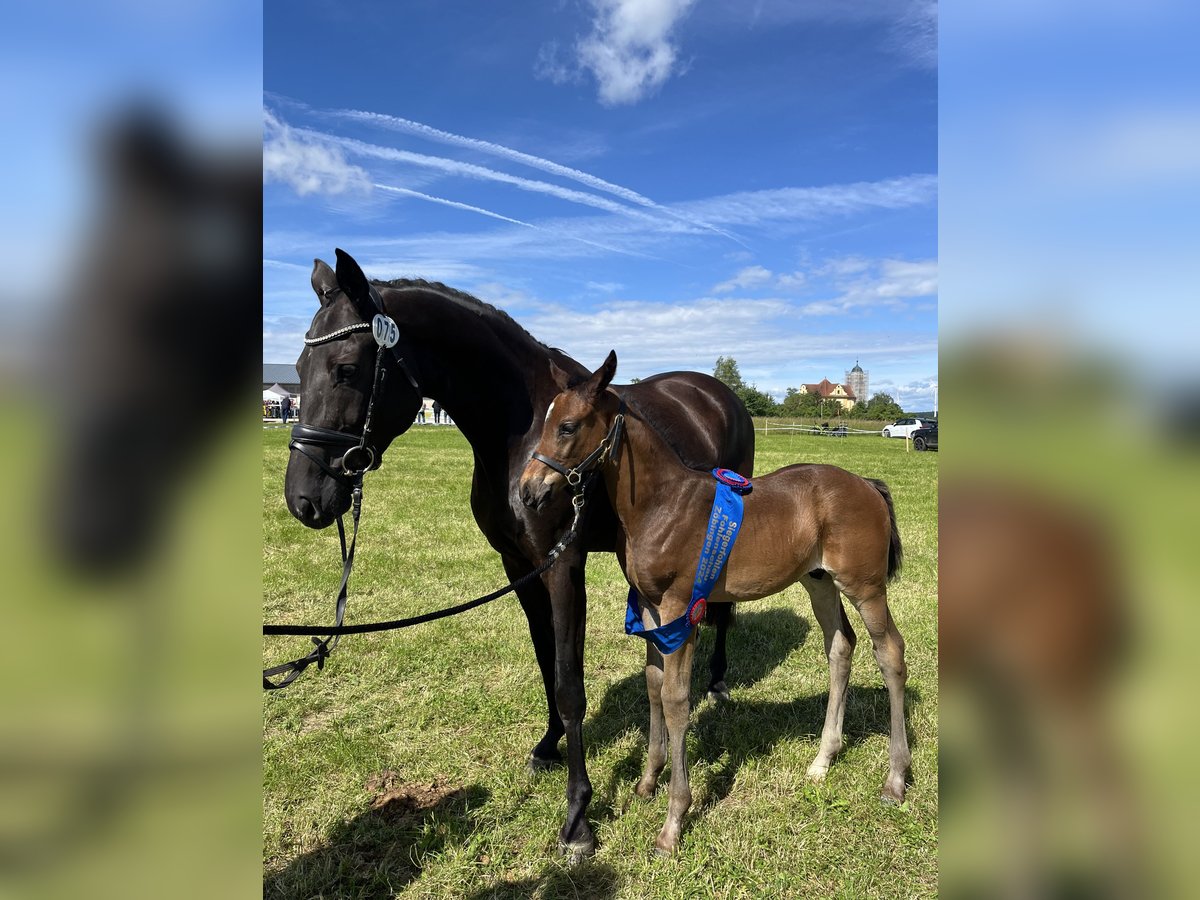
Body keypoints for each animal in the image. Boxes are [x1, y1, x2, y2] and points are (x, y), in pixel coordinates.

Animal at [518, 350, 907, 854]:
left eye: (568, 426)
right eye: (545, 422)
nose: (528, 492)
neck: (662, 503)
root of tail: (866, 484)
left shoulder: (680, 611)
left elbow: (676, 699)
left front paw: (673, 822)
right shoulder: (650, 609)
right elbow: (653, 686)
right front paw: (647, 781)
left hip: (865, 587)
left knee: (890, 653)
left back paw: (895, 779)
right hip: (819, 581)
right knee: (841, 646)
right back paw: (823, 759)